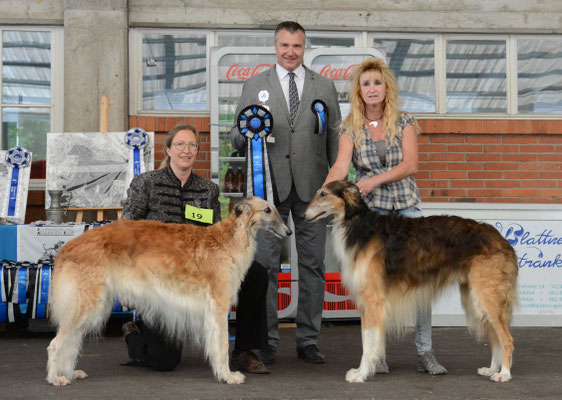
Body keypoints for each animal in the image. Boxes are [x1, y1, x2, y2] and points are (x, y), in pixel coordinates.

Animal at [46, 198, 290, 386]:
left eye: (274, 208)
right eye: (268, 210)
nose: (288, 232)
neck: (228, 239)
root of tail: (66, 247)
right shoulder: (218, 306)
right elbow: (221, 346)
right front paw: (227, 376)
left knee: (71, 342)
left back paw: (68, 373)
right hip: (86, 303)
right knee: (55, 344)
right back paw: (55, 378)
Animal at [304, 180, 516, 382]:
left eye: (323, 194)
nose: (304, 215)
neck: (358, 225)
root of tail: (502, 239)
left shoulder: (373, 300)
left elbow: (369, 343)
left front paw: (362, 374)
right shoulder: (365, 303)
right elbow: (367, 340)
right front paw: (362, 370)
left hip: (487, 298)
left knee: (506, 339)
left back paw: (504, 374)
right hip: (476, 299)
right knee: (496, 339)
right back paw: (492, 369)